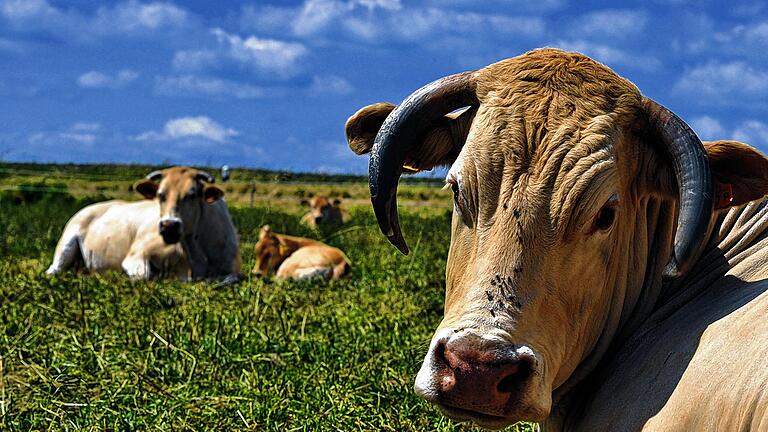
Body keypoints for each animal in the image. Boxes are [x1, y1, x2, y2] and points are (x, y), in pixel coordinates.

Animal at [48, 165, 240, 280]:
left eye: (192, 195)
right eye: (160, 195)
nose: (169, 225)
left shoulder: (234, 270)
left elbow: (229, 279)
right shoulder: (136, 255)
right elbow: (144, 275)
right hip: (64, 247)